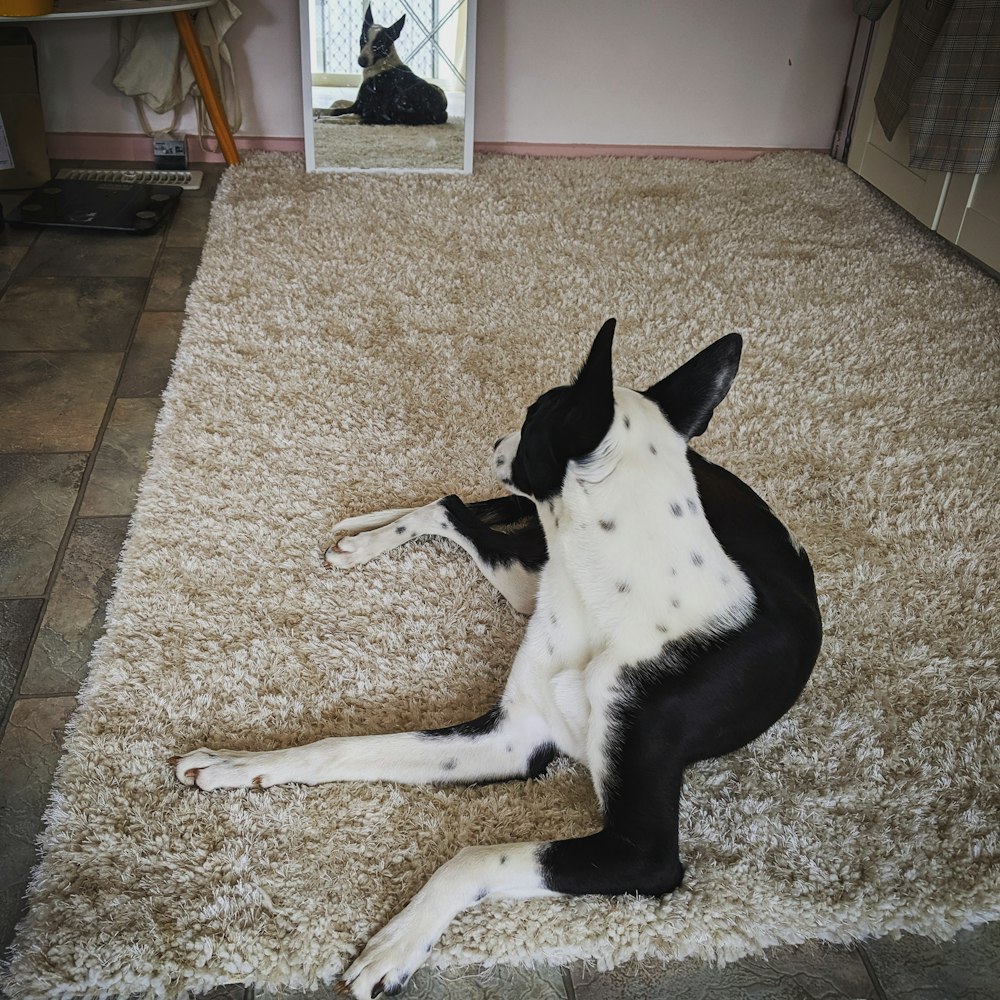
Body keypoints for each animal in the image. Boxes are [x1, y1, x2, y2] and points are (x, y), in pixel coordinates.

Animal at [172, 322, 824, 1000]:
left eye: (535, 412)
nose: (495, 440)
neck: (614, 595)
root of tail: (709, 462)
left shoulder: (641, 852)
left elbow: (477, 855)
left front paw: (398, 942)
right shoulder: (514, 733)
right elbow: (345, 747)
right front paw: (240, 764)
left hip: (524, 580)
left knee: (457, 508)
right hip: (527, 577)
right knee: (451, 504)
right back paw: (365, 540)